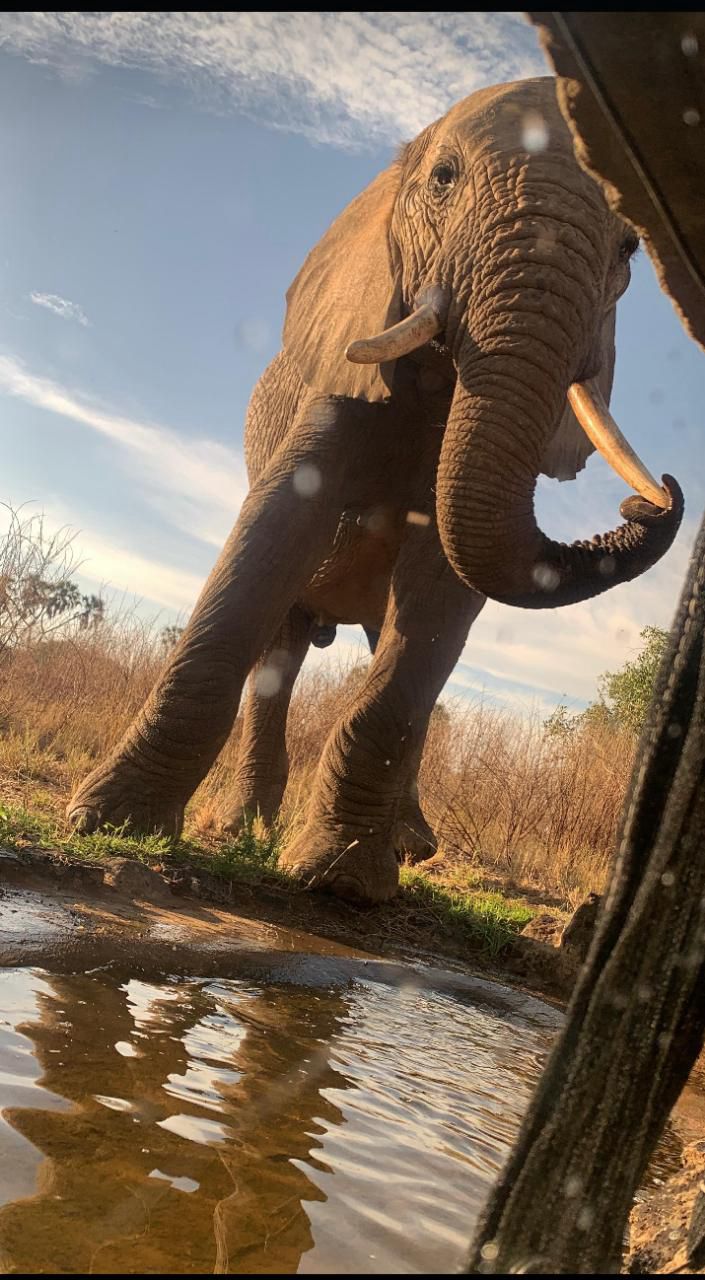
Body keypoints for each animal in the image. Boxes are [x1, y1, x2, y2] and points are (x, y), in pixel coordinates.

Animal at [67, 75, 683, 905]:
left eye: (627, 249)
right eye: (443, 179)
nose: (654, 496)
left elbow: (442, 590)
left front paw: (344, 881)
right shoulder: (339, 363)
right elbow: (277, 528)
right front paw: (111, 825)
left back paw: (407, 848)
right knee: (282, 650)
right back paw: (242, 829)